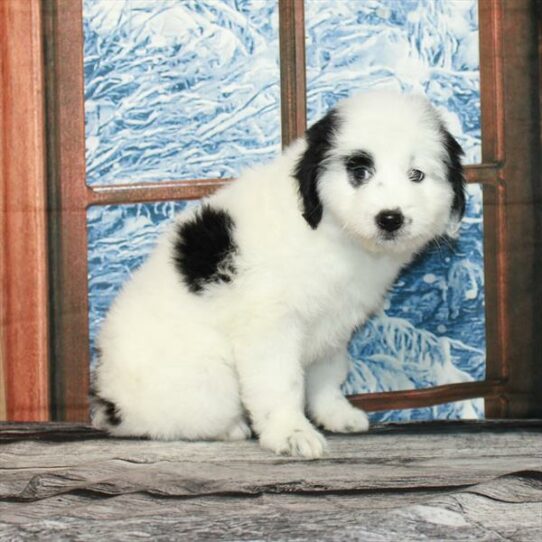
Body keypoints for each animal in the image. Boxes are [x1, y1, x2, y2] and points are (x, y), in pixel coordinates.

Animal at [93, 92, 468, 460]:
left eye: (416, 175)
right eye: (359, 172)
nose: (390, 218)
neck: (329, 232)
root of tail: (108, 401)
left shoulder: (333, 325)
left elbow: (326, 375)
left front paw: (336, 414)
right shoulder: (270, 325)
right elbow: (281, 382)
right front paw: (291, 433)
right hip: (205, 383)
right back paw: (229, 428)